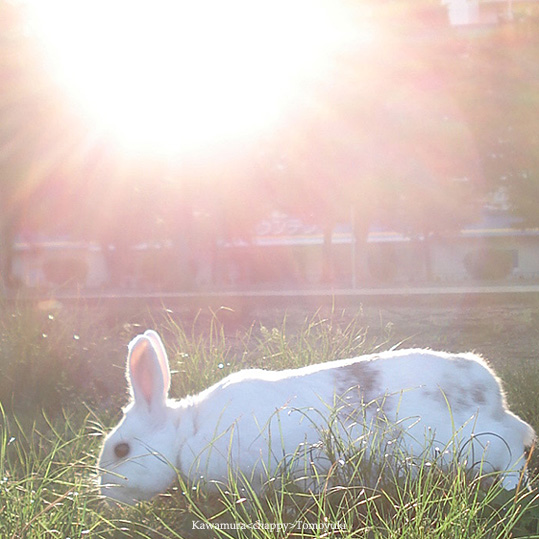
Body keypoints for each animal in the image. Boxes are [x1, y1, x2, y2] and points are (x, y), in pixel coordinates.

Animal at [98, 332, 536, 504]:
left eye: (121, 450)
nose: (103, 493)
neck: (185, 432)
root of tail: (492, 394)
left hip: (481, 444)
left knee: (516, 447)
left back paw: (509, 485)